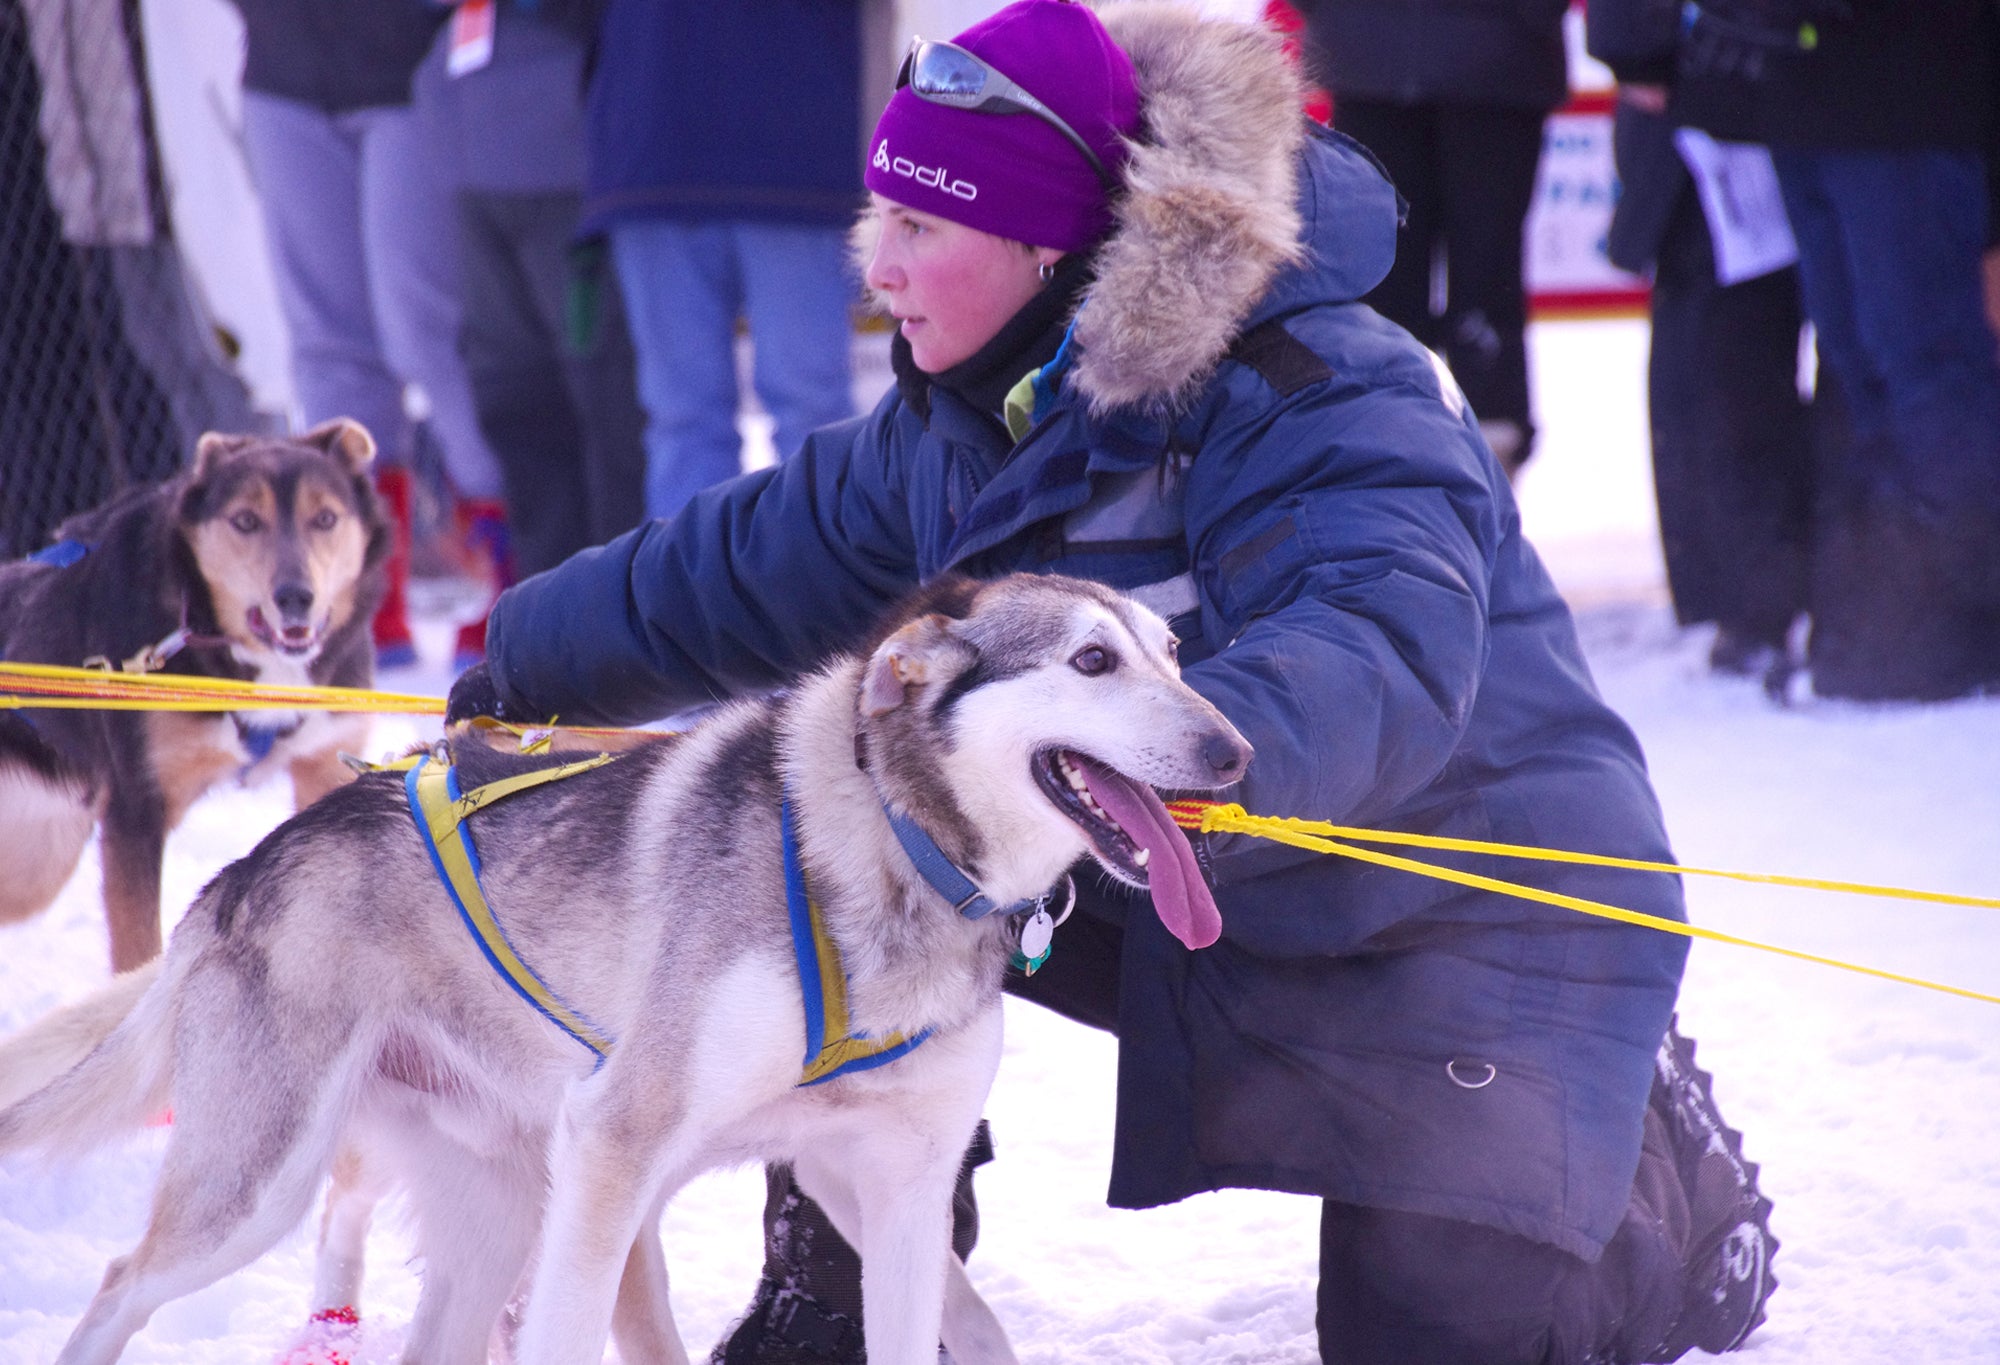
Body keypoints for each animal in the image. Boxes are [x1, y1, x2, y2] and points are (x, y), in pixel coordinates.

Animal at [0, 418, 388, 968]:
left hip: (38, 854)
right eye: (245, 520)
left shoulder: (325, 766)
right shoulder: (136, 808)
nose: (296, 596)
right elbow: (140, 949)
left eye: (326, 518)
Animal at [0, 572, 1248, 1360]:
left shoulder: (890, 1179)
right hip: (263, 1182)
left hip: (495, 1209)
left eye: (1172, 655)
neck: (896, 848)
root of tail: (239, 873)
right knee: (119, 1288)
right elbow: (569, 1329)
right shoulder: (615, 1145)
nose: (1234, 751)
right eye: (1091, 659)